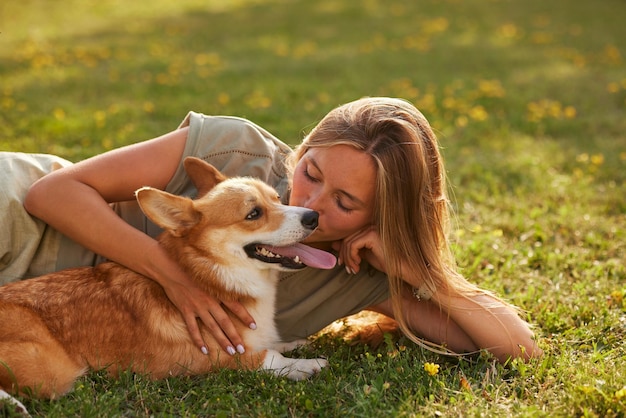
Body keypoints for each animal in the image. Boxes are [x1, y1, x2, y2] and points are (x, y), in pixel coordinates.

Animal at [0, 157, 334, 398]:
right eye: (253, 214)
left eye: (278, 199)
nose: (313, 217)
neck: (213, 273)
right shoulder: (207, 358)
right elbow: (268, 357)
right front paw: (308, 365)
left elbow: (275, 344)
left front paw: (296, 344)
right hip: (51, 371)